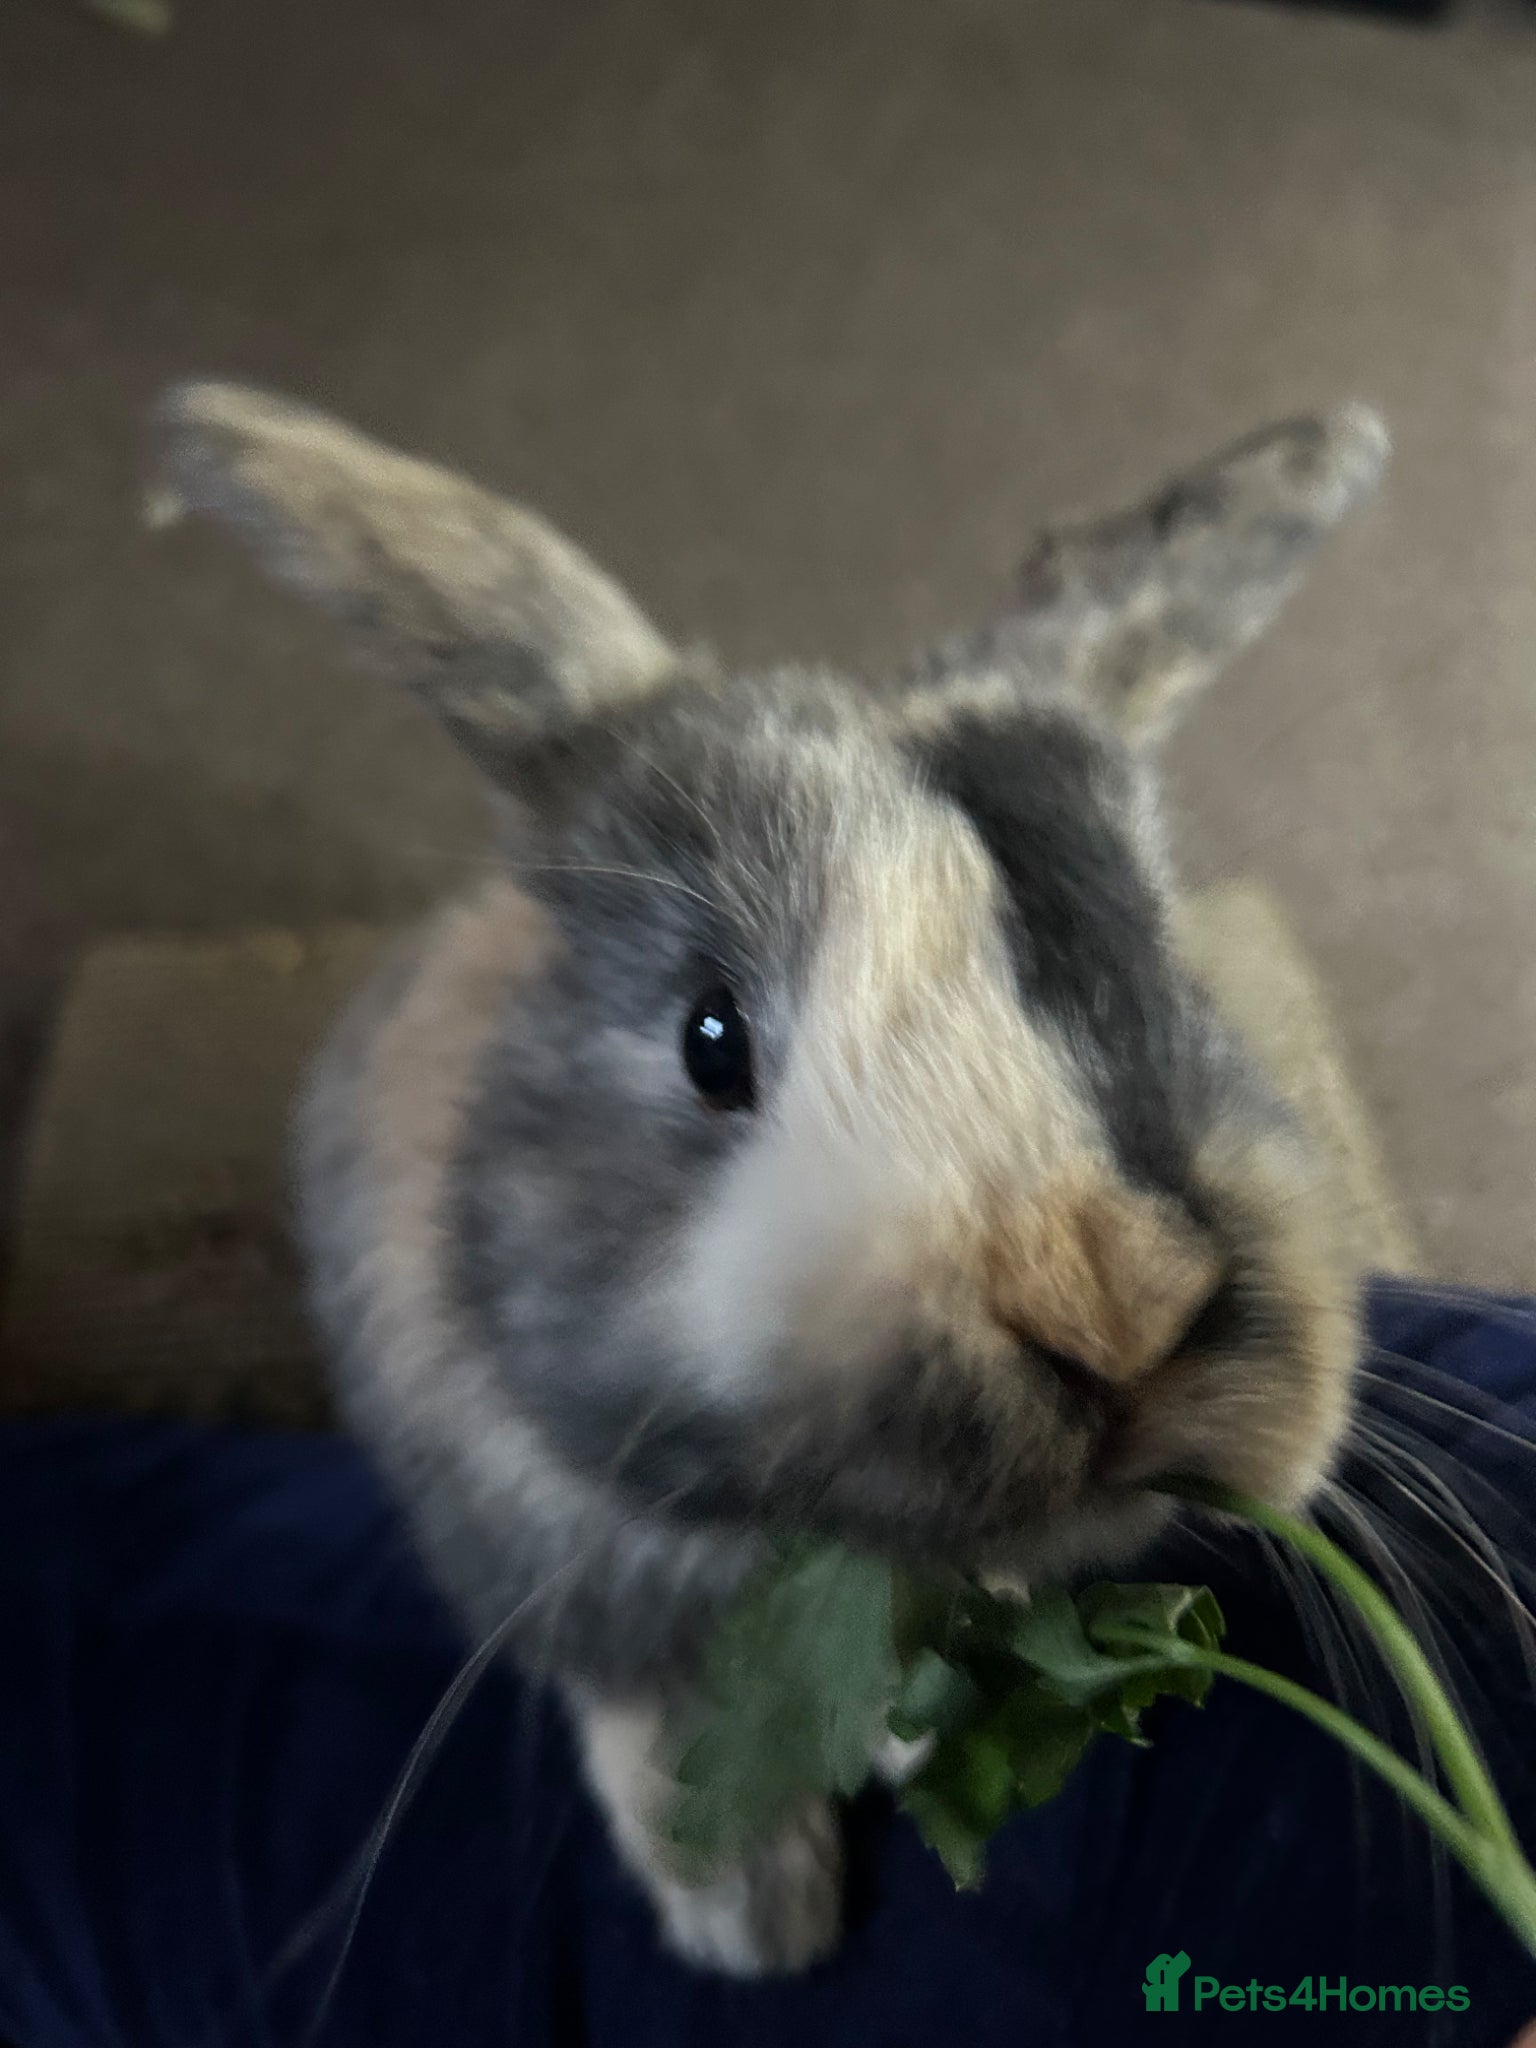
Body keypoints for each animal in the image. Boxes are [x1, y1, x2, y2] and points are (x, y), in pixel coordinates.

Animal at [155, 382, 1387, 1977]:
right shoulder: (544, 1558)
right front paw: (752, 1918)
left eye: (1172, 962)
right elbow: (641, 1704)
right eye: (711, 1037)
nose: (1117, 1305)